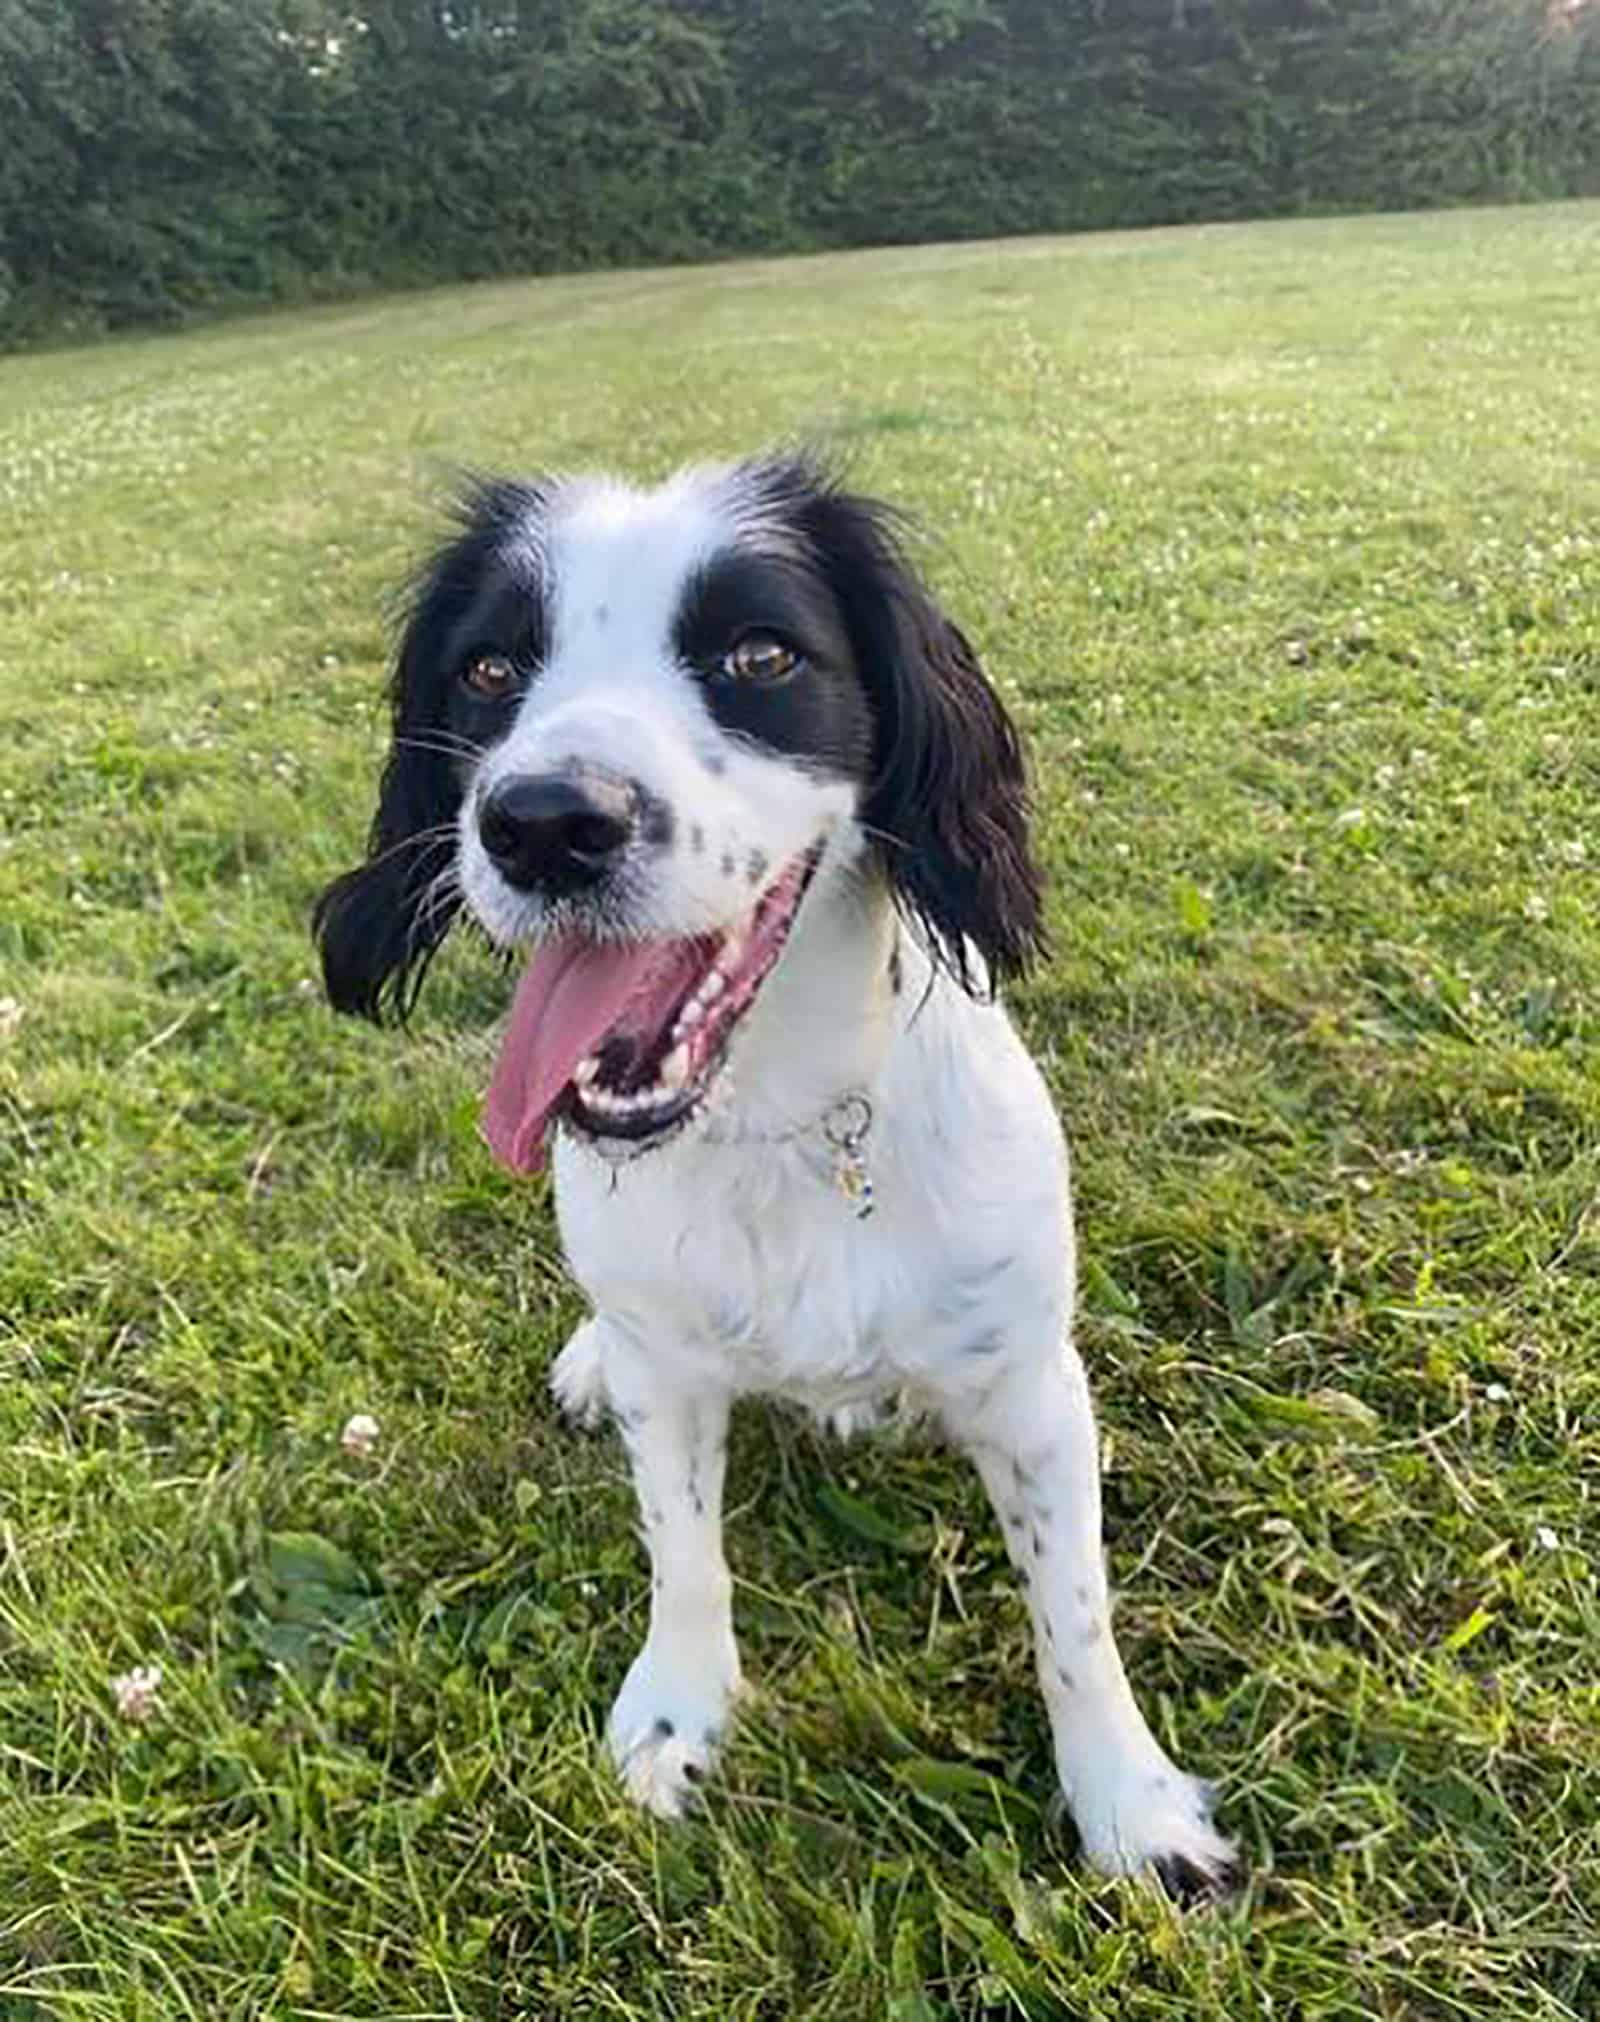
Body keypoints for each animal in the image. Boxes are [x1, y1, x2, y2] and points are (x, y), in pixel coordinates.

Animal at [313, 454, 1237, 1892]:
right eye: (489, 668)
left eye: (760, 654)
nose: (544, 823)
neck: (782, 1124)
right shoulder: (674, 1375)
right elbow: (683, 1548)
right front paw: (679, 1715)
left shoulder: (1032, 1388)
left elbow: (1073, 1613)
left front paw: (1128, 1806)